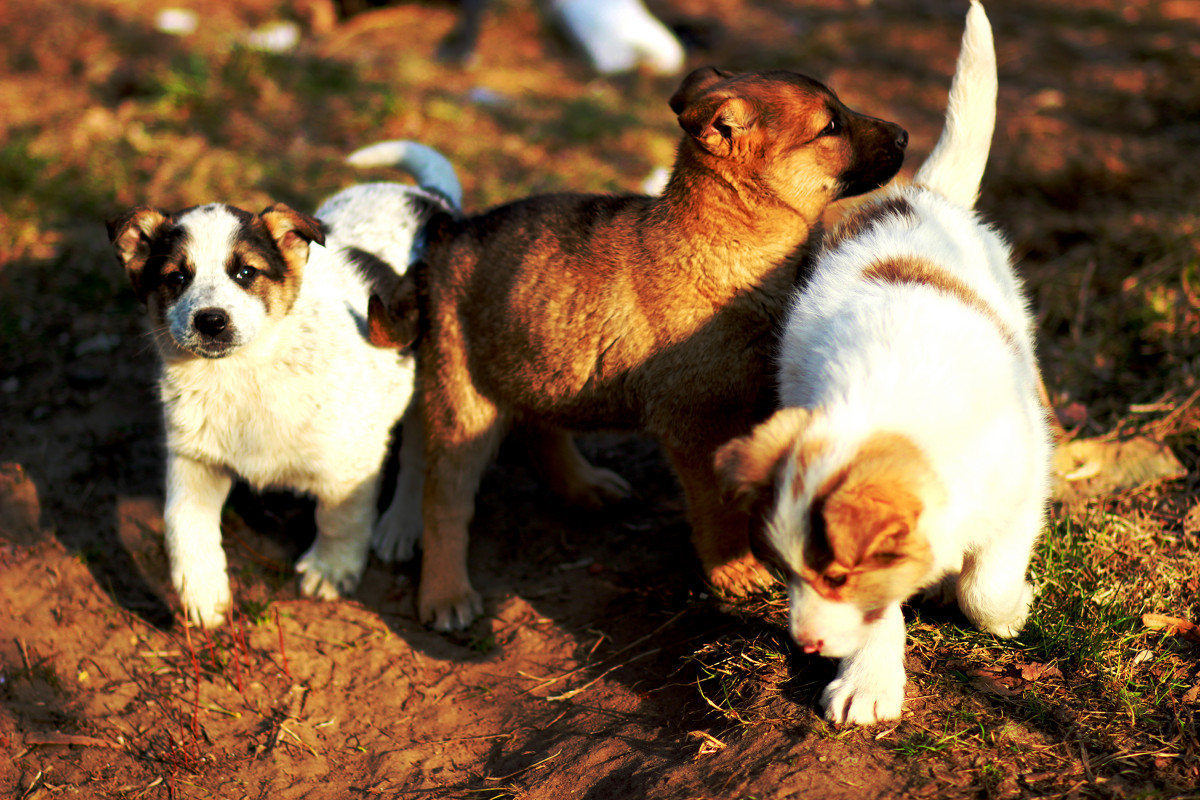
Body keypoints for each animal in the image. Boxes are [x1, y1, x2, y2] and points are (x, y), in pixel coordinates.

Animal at [109, 143, 458, 633]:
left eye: (245, 273)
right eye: (176, 278)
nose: (211, 321)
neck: (242, 374)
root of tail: (428, 197)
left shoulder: (353, 460)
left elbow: (340, 517)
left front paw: (330, 569)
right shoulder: (193, 459)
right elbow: (182, 523)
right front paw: (202, 594)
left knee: (417, 460)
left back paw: (400, 526)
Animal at [415, 67, 907, 633]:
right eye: (830, 127)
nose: (904, 135)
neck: (729, 241)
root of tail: (455, 232)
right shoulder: (696, 425)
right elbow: (717, 506)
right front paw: (734, 569)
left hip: (538, 355)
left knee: (539, 424)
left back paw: (583, 485)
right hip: (461, 401)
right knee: (445, 500)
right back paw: (445, 594)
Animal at [715, 0, 1046, 724]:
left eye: (837, 576)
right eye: (787, 572)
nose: (805, 645)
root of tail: (920, 194)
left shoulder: (1025, 486)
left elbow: (986, 584)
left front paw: (1008, 610)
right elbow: (885, 613)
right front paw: (868, 681)